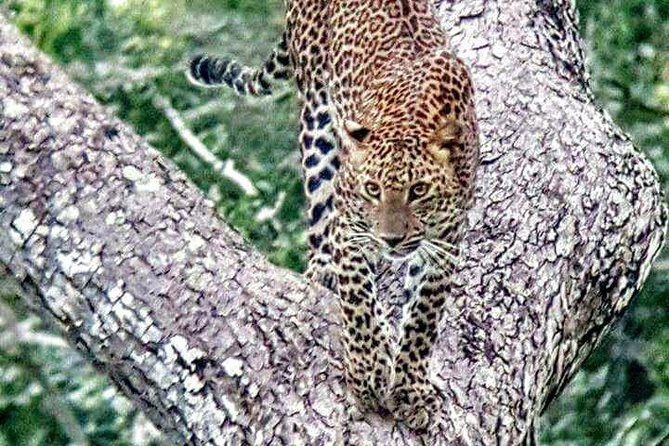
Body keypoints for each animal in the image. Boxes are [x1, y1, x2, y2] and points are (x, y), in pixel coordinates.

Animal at [188, 0, 479, 432]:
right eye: (372, 189)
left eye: (418, 191)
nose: (391, 240)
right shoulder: (351, 227)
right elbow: (358, 302)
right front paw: (368, 374)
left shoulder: (445, 244)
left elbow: (421, 320)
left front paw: (410, 389)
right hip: (317, 119)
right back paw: (326, 271)